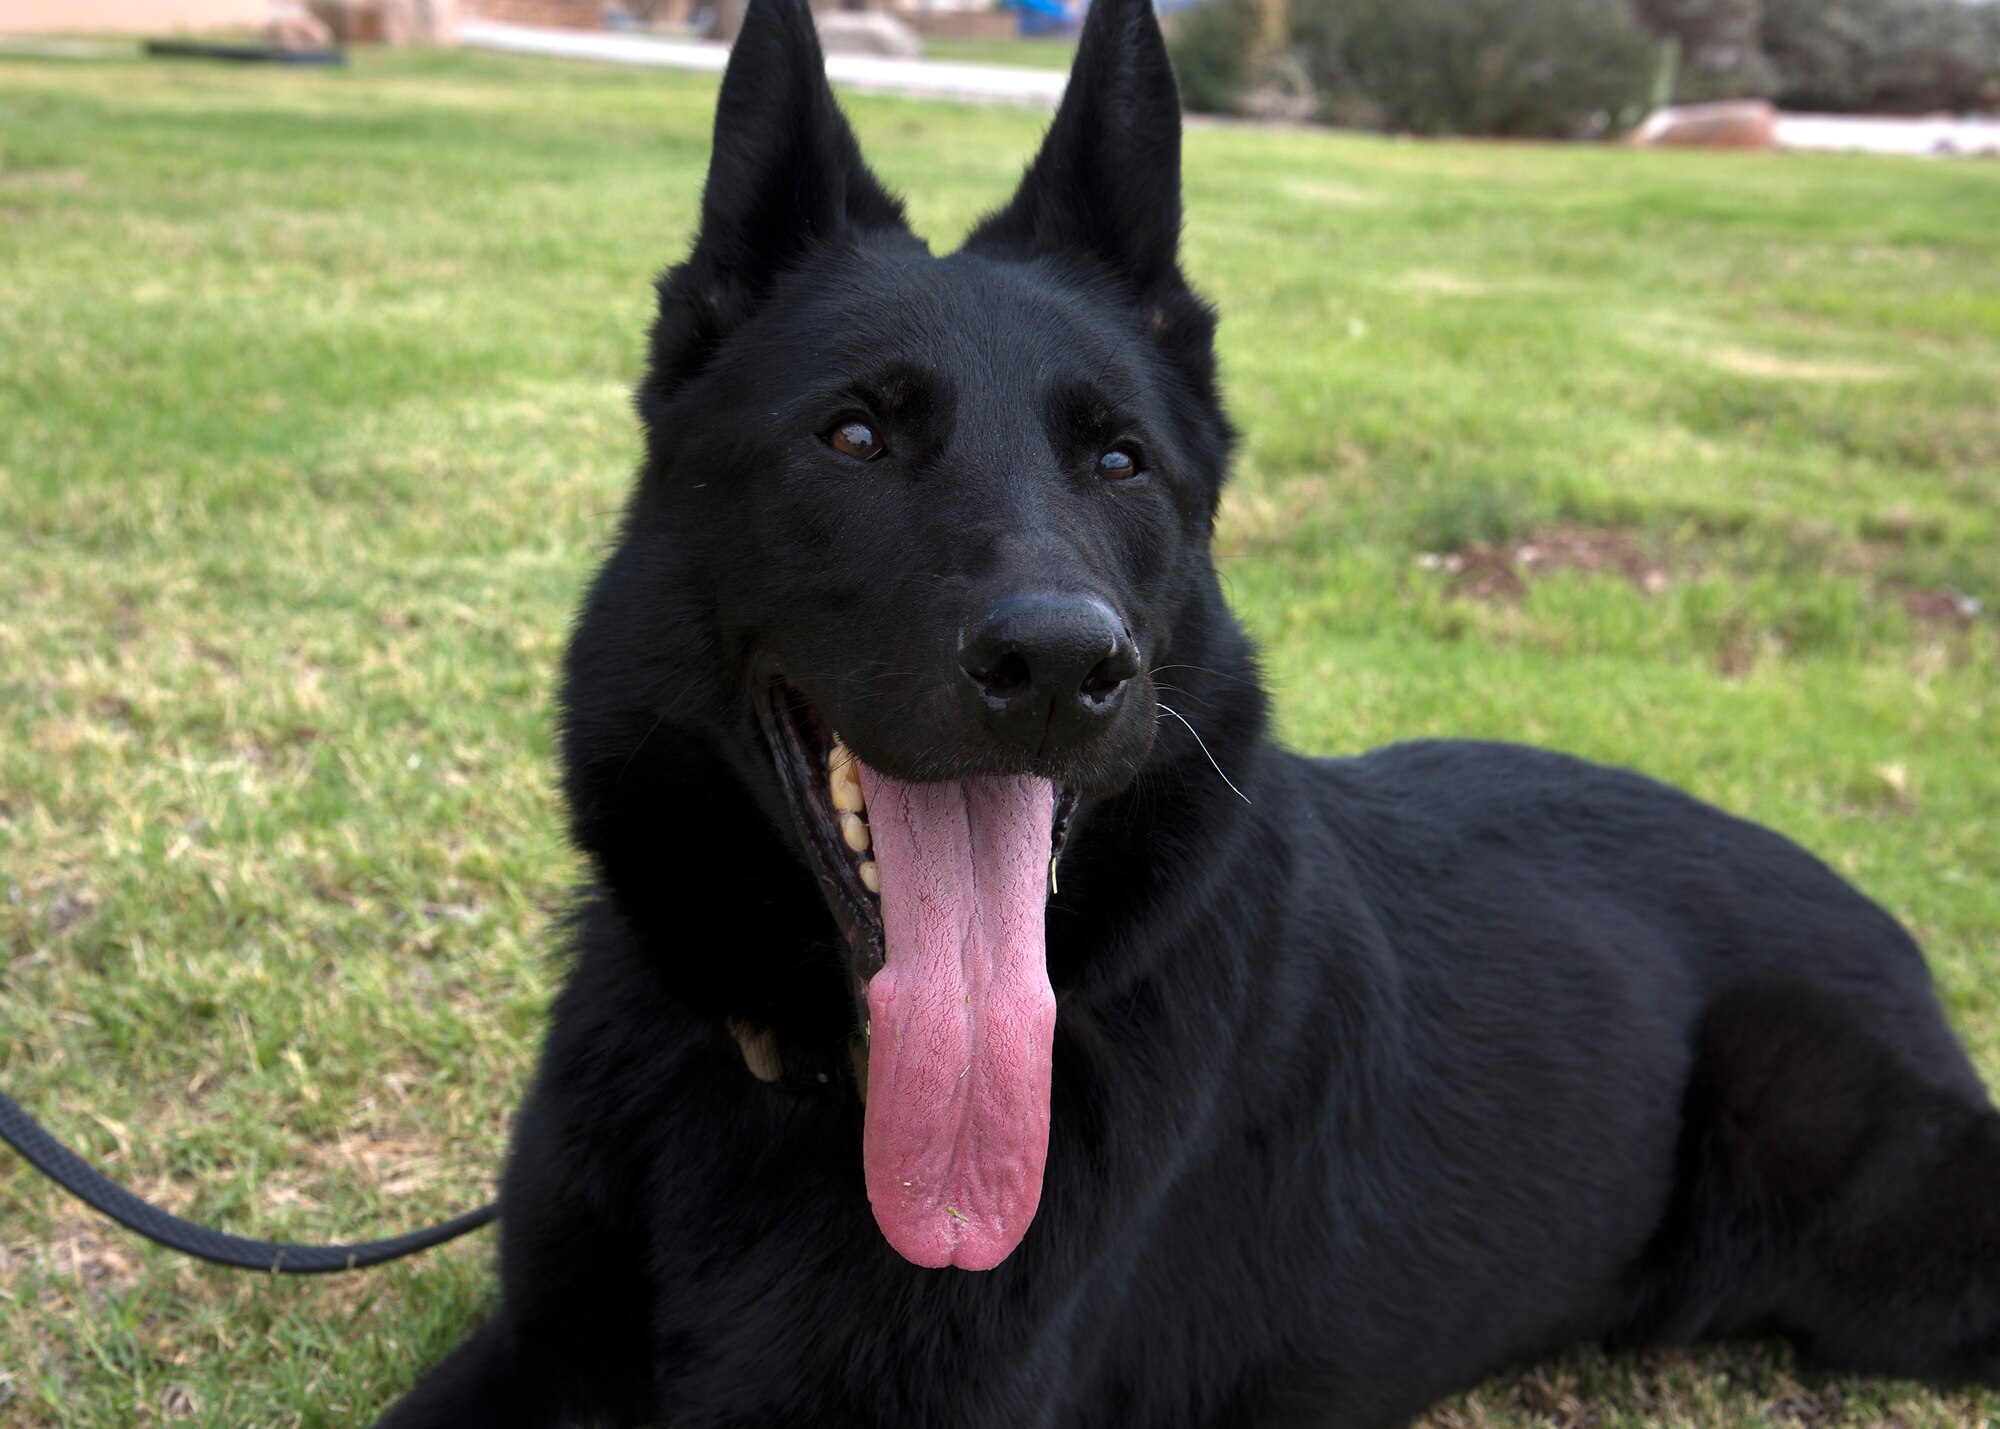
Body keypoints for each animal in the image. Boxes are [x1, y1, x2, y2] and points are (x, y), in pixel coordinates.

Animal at [376, 0, 2000, 1416]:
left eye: (1120, 462)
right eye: (850, 436)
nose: (1058, 666)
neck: (816, 1080)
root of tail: (1893, 939)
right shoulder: (532, 1348)